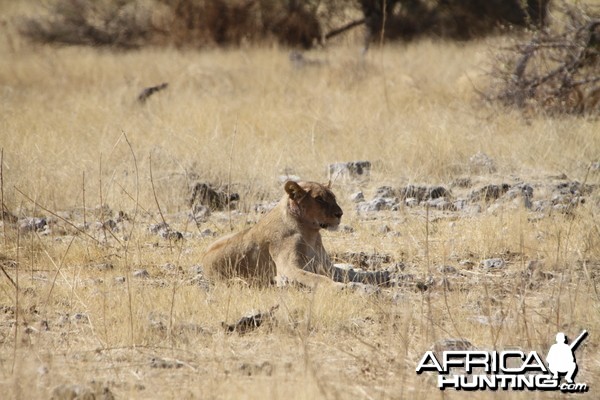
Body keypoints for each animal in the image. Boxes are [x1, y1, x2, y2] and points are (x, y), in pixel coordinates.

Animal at [202, 180, 390, 288]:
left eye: (333, 197)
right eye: (319, 199)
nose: (340, 213)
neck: (311, 233)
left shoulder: (326, 266)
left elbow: (353, 273)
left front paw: (382, 276)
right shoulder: (287, 268)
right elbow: (317, 278)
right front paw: (337, 286)